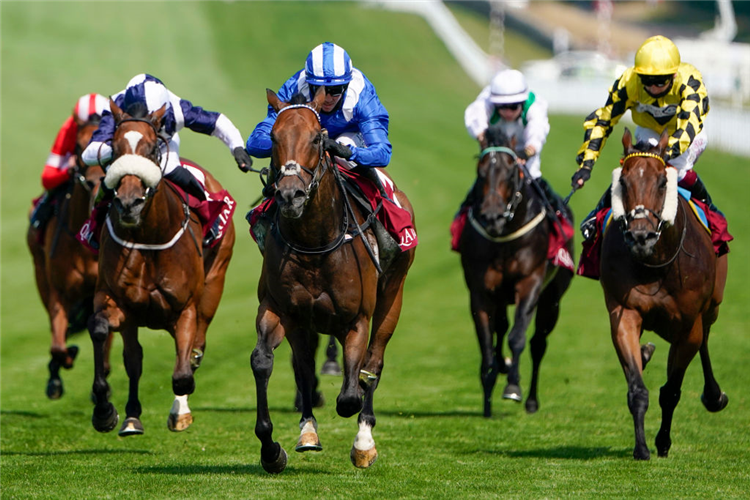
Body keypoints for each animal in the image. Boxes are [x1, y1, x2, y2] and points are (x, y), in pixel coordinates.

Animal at [86, 99, 232, 436]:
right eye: (114, 147)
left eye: (152, 149)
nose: (129, 203)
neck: (149, 238)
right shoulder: (117, 303)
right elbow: (101, 331)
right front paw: (105, 411)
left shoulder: (186, 308)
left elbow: (183, 373)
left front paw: (180, 411)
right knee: (134, 358)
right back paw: (131, 416)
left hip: (214, 283)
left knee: (194, 350)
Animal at [253, 88, 418, 470]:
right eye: (274, 137)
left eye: (317, 138)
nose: (290, 195)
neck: (315, 241)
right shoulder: (280, 309)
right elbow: (264, 361)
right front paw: (272, 449)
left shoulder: (356, 320)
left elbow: (351, 393)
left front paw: (362, 442)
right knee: (303, 365)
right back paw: (308, 431)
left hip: (393, 296)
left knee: (372, 365)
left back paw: (365, 440)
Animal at [458, 127, 576, 416]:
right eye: (480, 170)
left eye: (511, 170)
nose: (492, 217)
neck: (505, 237)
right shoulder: (481, 290)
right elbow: (487, 342)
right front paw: (488, 390)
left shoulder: (530, 283)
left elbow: (518, 337)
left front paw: (513, 387)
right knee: (501, 327)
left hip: (552, 298)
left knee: (538, 344)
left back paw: (532, 399)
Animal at [604, 130, 728, 460]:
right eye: (623, 182)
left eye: (662, 182)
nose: (641, 236)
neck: (657, 264)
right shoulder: (625, 313)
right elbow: (637, 389)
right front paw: (642, 447)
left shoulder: (689, 326)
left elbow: (671, 391)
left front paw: (662, 442)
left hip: (712, 307)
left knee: (706, 339)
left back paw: (714, 395)